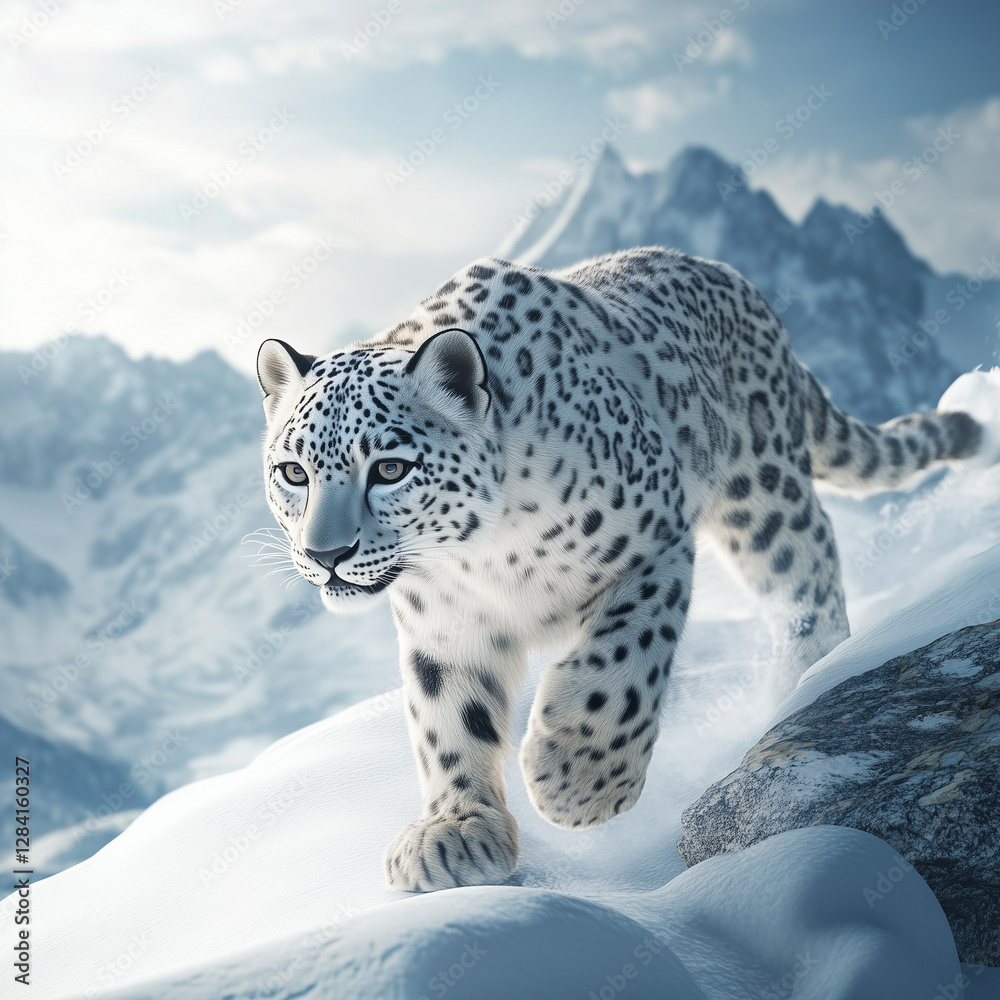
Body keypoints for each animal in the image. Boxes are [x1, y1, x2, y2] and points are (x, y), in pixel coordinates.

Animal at [255, 246, 983, 892]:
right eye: (293, 471)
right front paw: (456, 833)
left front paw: (576, 781)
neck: (482, 557)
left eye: (389, 468)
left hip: (764, 495)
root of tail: (732, 278)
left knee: (807, 574)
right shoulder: (445, 625)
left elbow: (619, 664)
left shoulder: (651, 543)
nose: (325, 555)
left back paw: (800, 682)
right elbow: (448, 719)